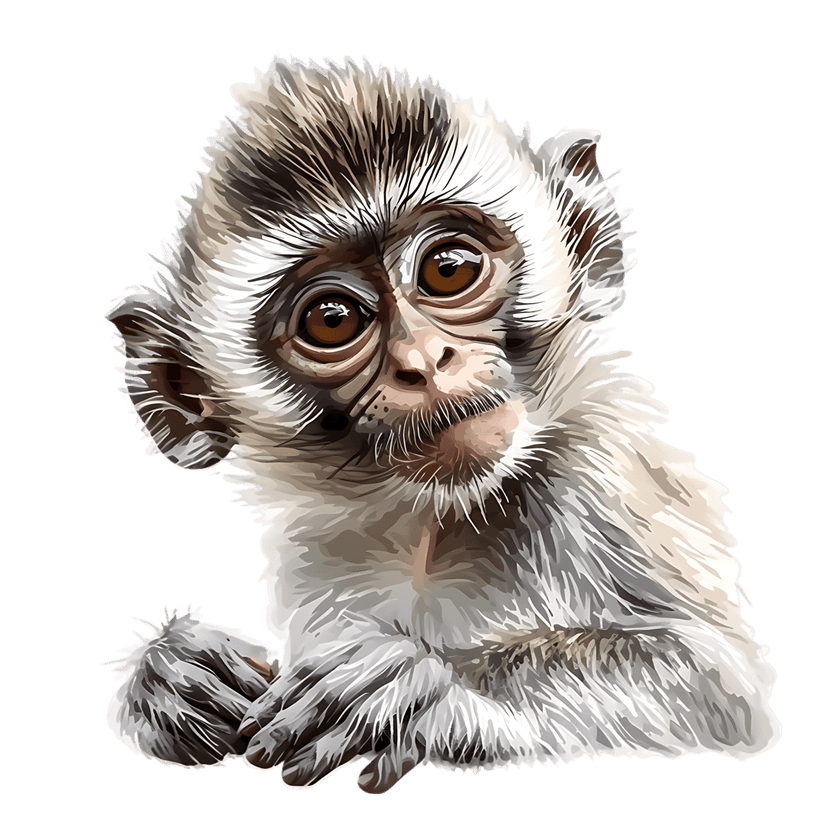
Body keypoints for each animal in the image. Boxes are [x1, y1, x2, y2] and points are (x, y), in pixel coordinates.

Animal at [104, 55, 781, 794]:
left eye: (447, 269)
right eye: (331, 320)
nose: (425, 362)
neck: (432, 523)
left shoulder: (598, 479)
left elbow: (721, 689)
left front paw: (429, 686)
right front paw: (170, 676)